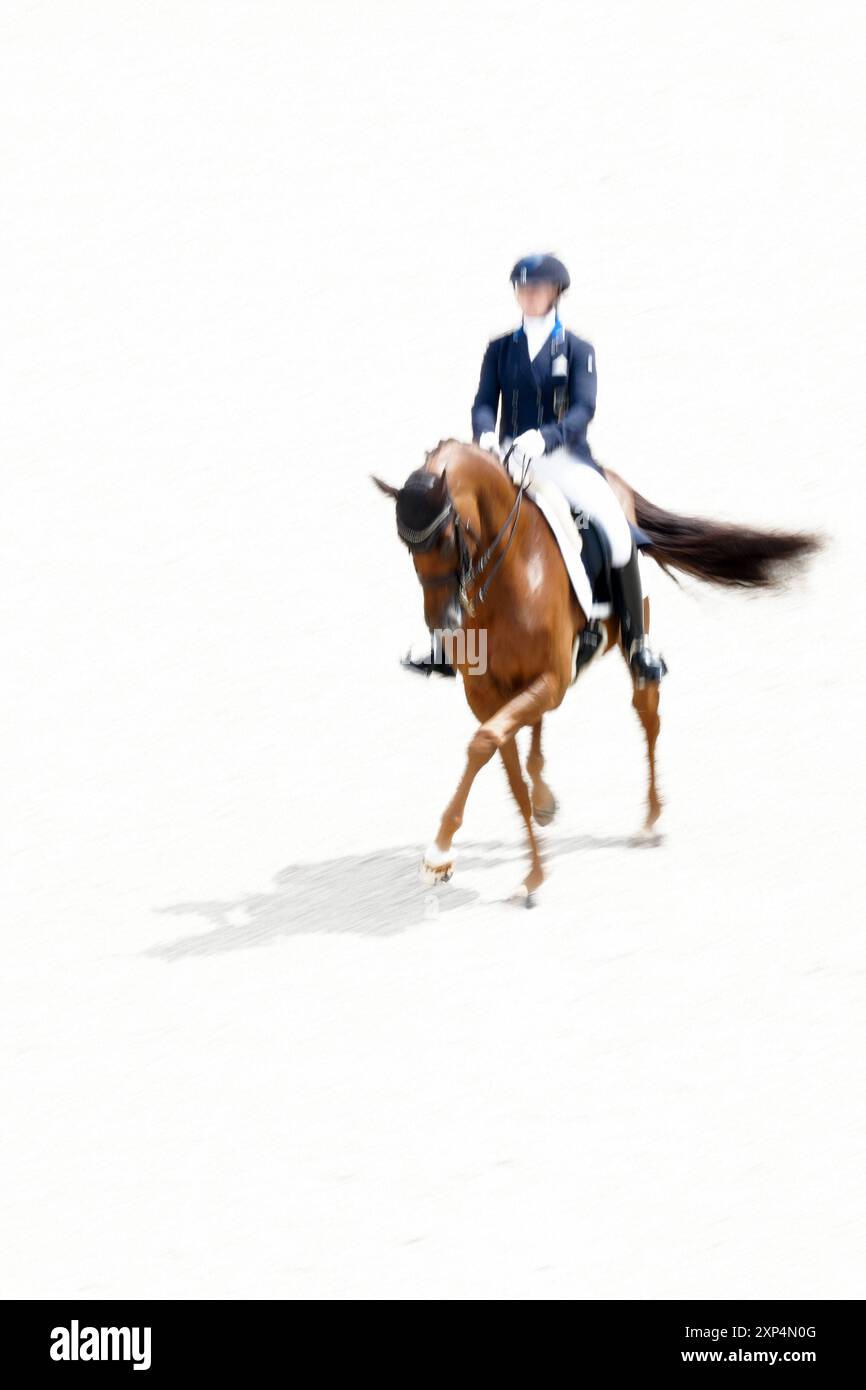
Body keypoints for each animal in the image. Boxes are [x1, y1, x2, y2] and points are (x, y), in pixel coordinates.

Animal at [372, 442, 817, 900]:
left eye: (448, 537)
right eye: (407, 546)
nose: (443, 624)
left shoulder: (551, 682)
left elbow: (484, 743)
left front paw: (442, 854)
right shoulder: (485, 693)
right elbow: (505, 764)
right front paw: (529, 868)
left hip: (630, 636)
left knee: (647, 712)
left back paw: (650, 820)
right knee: (537, 730)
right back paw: (545, 798)